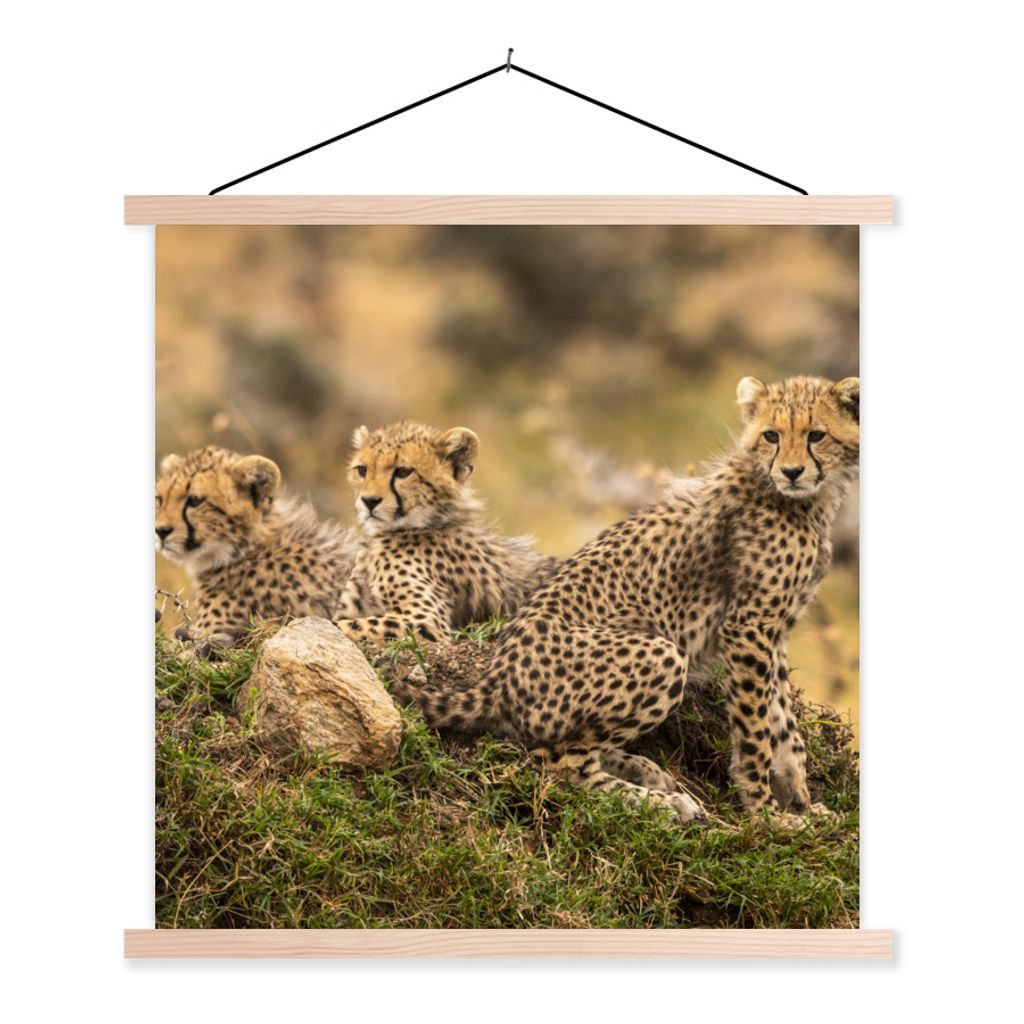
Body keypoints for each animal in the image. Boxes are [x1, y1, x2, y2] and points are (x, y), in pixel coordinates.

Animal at [392, 376, 860, 823]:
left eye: (816, 435)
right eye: (771, 435)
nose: (793, 472)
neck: (802, 500)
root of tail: (494, 682)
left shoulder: (773, 631)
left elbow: (785, 726)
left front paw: (802, 804)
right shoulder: (748, 628)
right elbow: (756, 729)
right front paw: (765, 814)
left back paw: (646, 772)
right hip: (662, 654)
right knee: (560, 762)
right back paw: (664, 804)